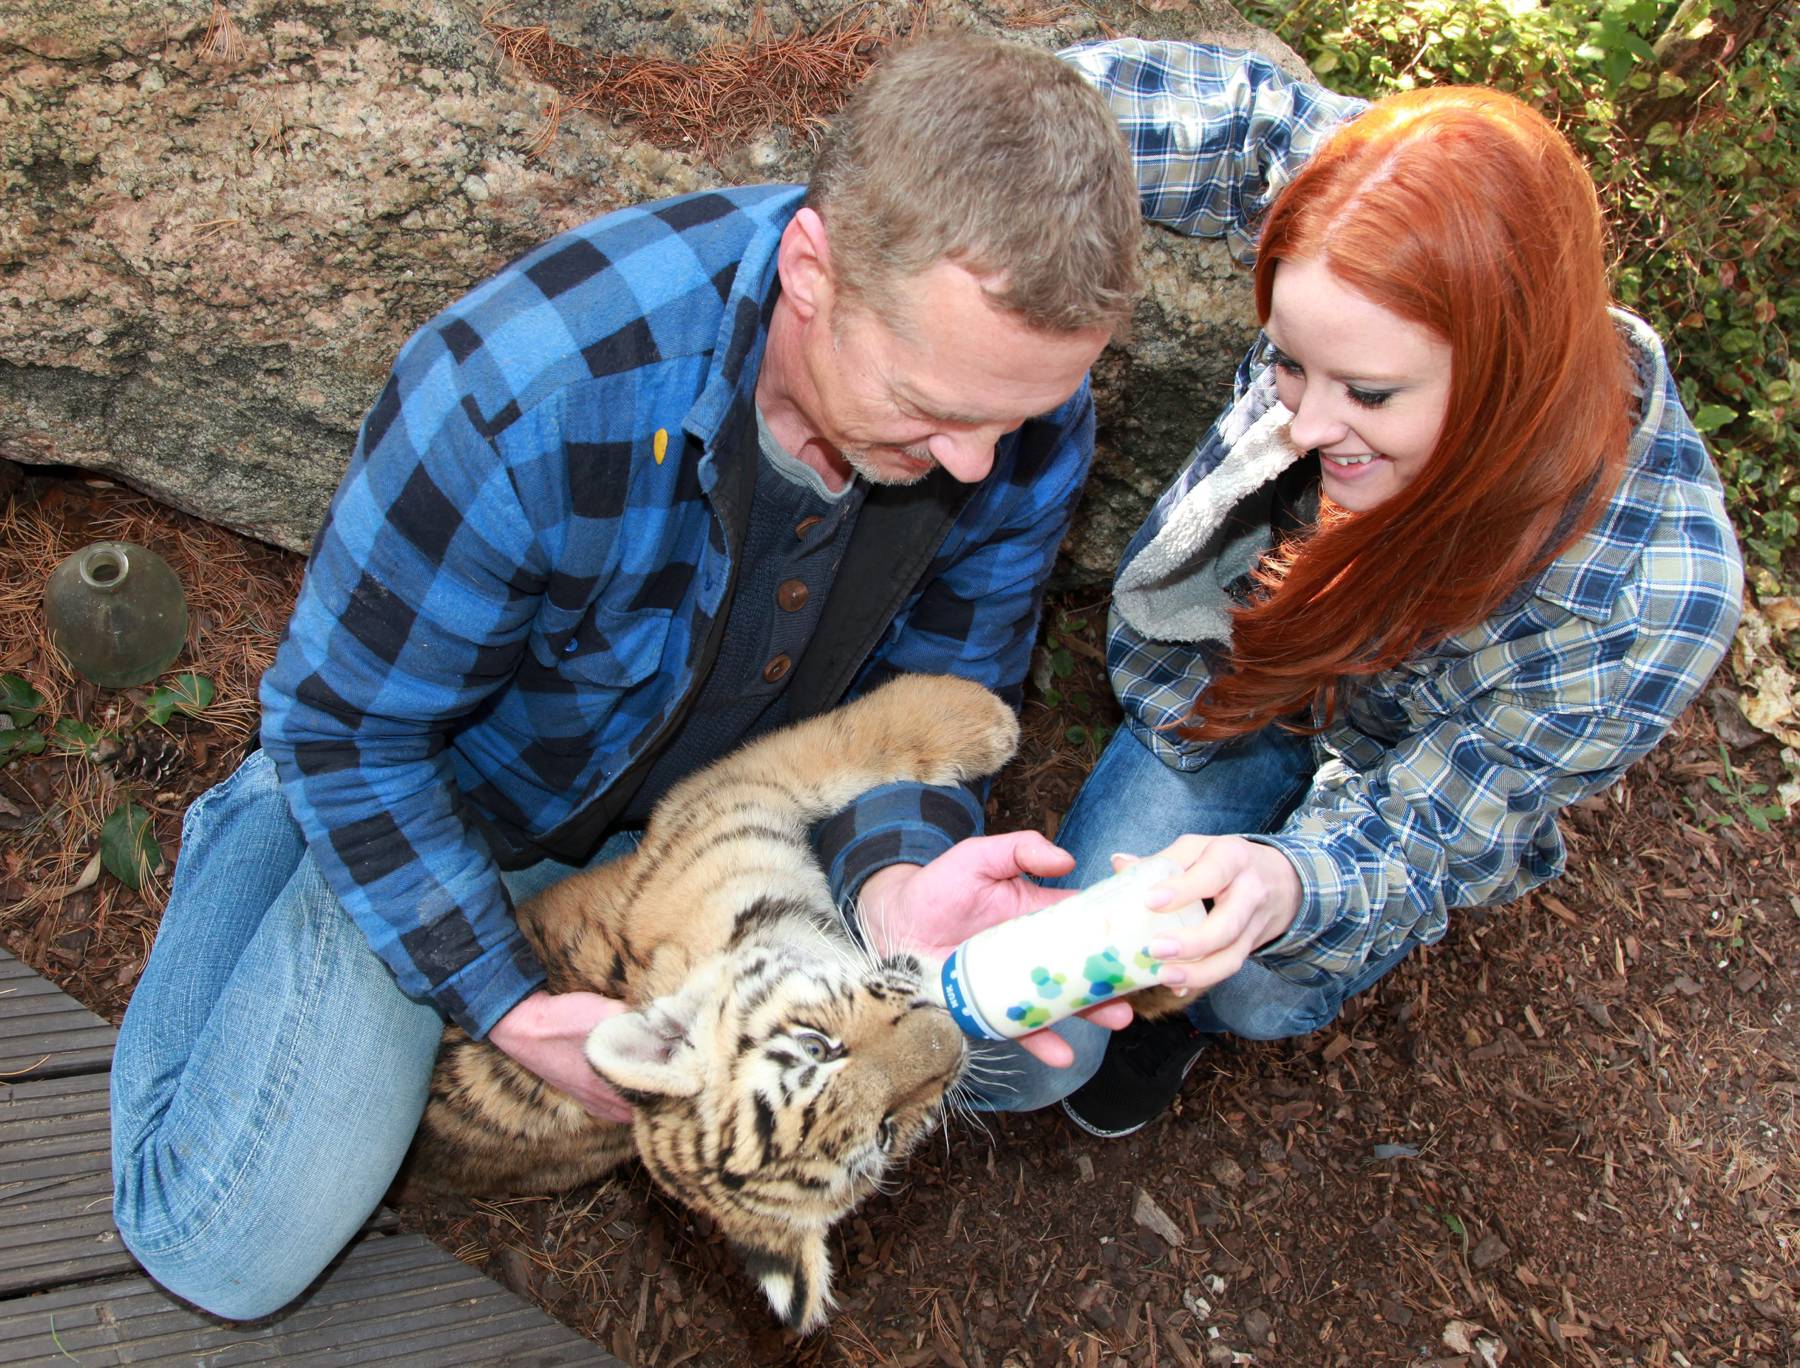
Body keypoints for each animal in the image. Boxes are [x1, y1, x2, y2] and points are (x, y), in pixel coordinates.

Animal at [397, 672, 1020, 1333]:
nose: (946, 1036)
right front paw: (992, 721)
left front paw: (978, 715)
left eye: (815, 1046)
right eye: (884, 1132)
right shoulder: (731, 790)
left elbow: (847, 738)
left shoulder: (723, 796)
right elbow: (835, 740)